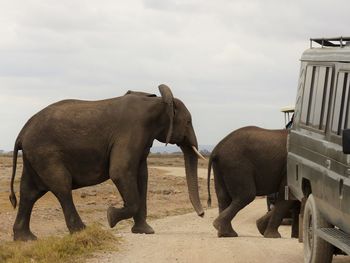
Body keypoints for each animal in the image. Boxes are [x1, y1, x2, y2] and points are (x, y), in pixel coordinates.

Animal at [9, 84, 205, 241]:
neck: (157, 102)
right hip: (45, 153)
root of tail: (22, 133)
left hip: (34, 156)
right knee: (61, 186)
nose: (202, 214)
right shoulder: (131, 131)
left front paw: (145, 231)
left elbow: (142, 175)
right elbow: (120, 172)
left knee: (29, 192)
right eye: (188, 122)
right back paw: (82, 231)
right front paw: (110, 217)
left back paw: (26, 239)